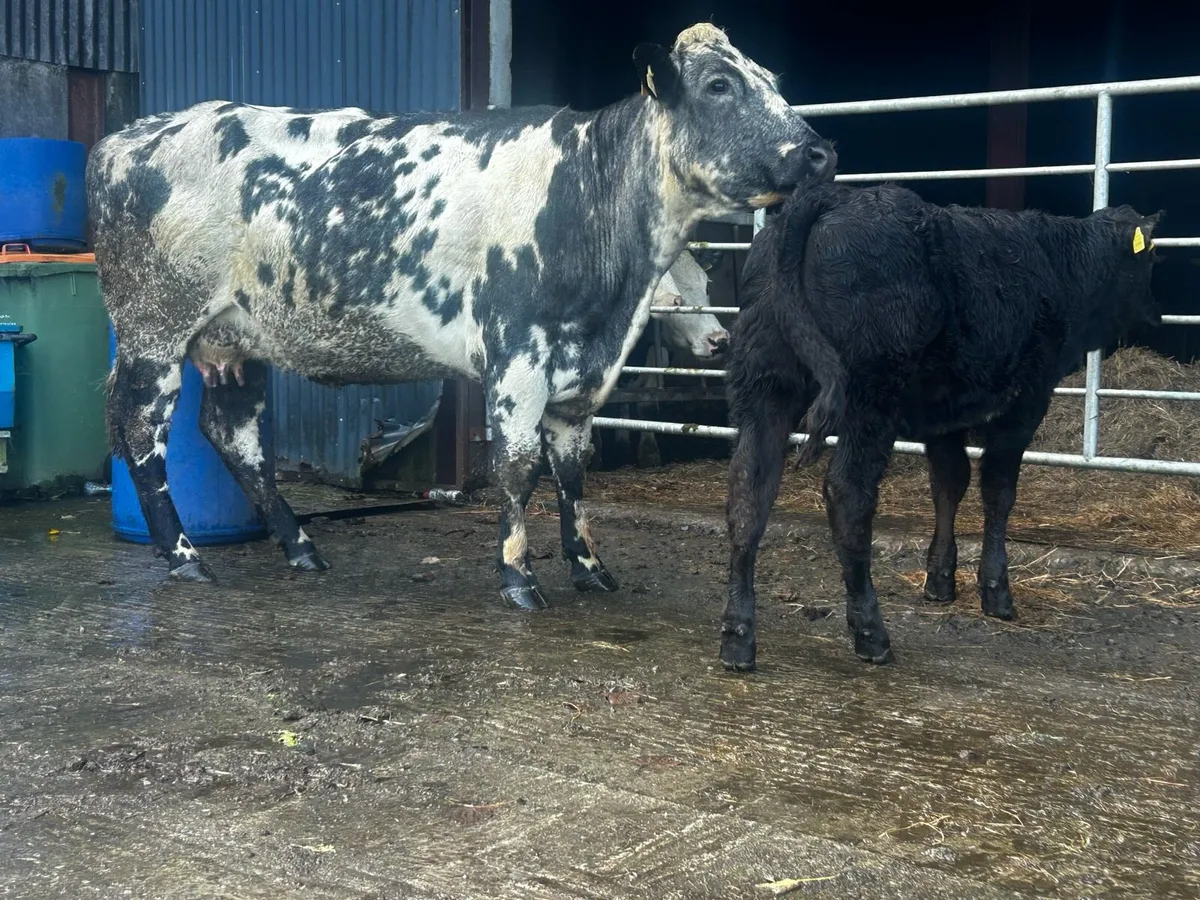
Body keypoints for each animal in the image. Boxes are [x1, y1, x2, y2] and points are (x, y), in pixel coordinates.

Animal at [86, 22, 836, 612]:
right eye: (718, 85)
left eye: (770, 79)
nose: (820, 151)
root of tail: (130, 135)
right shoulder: (517, 355)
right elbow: (518, 466)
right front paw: (518, 578)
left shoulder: (581, 373)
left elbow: (573, 470)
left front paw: (590, 568)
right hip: (154, 328)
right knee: (142, 435)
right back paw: (185, 558)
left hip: (236, 339)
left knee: (233, 435)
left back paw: (300, 547)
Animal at [721, 181, 1162, 671]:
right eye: (1151, 257)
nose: (1159, 316)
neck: (1062, 265)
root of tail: (832, 197)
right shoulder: (1027, 398)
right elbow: (998, 490)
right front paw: (996, 591)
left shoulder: (945, 414)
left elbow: (949, 484)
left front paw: (940, 578)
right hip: (870, 393)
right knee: (848, 494)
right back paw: (871, 632)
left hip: (764, 384)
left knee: (749, 492)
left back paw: (738, 637)